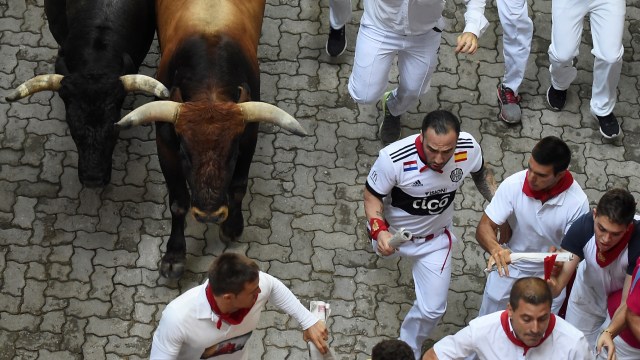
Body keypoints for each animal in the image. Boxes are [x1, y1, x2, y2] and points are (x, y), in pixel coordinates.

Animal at [117, 0, 310, 278]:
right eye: (185, 154)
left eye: (232, 155)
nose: (209, 214)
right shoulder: (165, 144)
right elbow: (178, 201)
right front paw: (174, 255)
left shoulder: (248, 137)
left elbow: (238, 186)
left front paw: (232, 226)